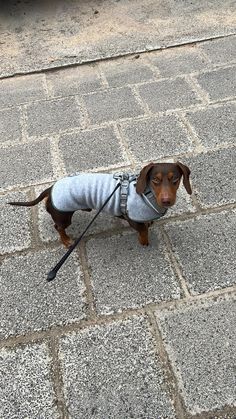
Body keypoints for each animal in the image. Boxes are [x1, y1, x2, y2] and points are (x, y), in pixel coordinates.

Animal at [8, 162, 192, 248]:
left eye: (175, 179)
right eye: (155, 180)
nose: (167, 200)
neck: (148, 195)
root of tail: (50, 188)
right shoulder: (133, 220)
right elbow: (143, 232)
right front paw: (144, 242)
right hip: (64, 216)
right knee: (58, 227)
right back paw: (67, 240)